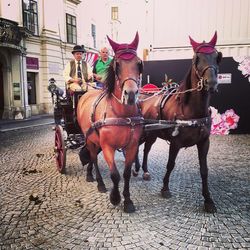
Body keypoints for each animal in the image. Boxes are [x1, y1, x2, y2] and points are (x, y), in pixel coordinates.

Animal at [77, 32, 144, 213]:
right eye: (117, 65)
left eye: (139, 63)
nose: (130, 94)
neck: (122, 115)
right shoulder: (107, 146)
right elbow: (115, 174)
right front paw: (115, 197)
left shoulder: (132, 146)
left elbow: (126, 173)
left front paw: (128, 200)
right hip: (89, 139)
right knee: (93, 157)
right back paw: (99, 182)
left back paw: (90, 174)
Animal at [134, 30, 222, 211]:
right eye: (196, 58)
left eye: (217, 57)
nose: (211, 83)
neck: (189, 109)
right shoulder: (175, 142)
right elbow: (170, 164)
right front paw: (165, 188)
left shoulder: (204, 142)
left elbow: (204, 170)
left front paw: (208, 199)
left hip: (151, 134)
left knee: (145, 149)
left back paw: (144, 170)